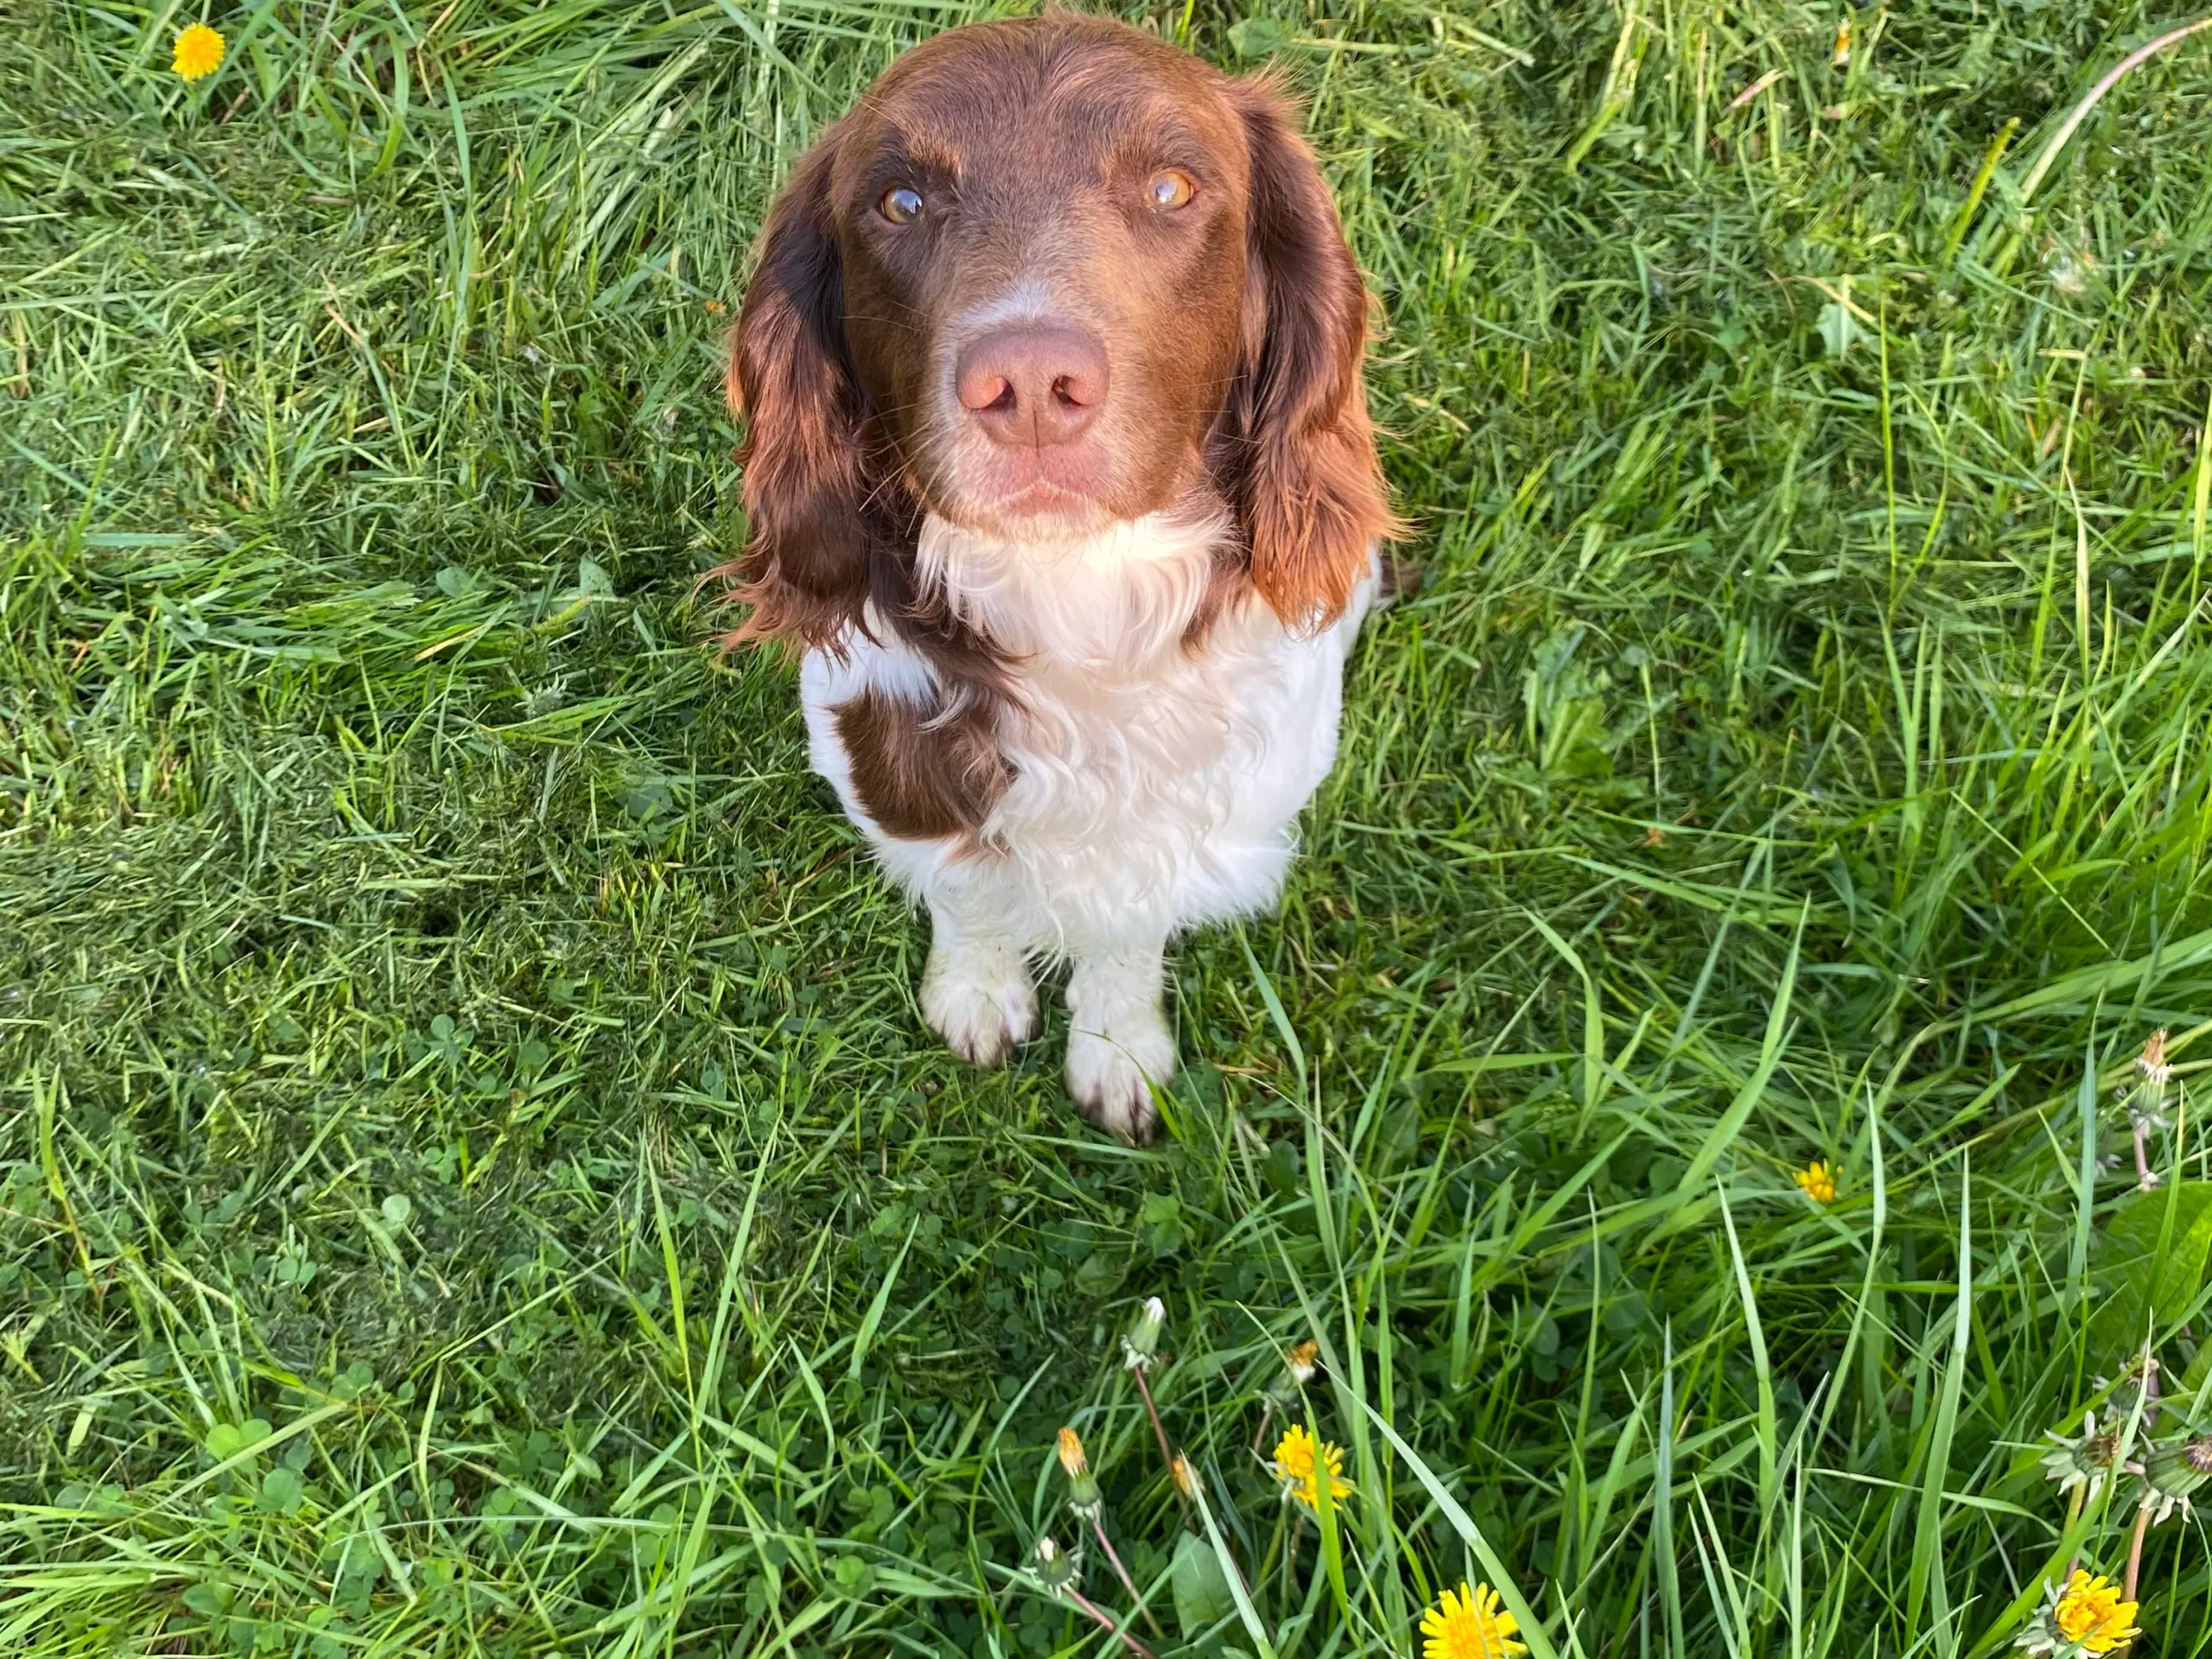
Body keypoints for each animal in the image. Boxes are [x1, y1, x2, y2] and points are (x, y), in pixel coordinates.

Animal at [716, 13, 1389, 1150]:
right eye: (899, 202)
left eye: (1170, 187)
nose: (1028, 384)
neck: (1077, 597)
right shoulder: (887, 756)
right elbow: (969, 892)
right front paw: (977, 990)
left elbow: (1128, 922)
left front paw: (1118, 1044)